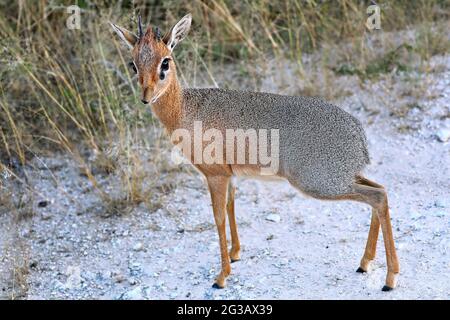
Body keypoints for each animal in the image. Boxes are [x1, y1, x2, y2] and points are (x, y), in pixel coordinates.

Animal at [110, 13, 400, 292]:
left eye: (165, 62)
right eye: (133, 63)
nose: (146, 96)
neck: (185, 109)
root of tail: (359, 134)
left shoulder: (215, 175)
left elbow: (218, 217)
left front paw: (222, 276)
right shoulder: (230, 175)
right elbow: (231, 207)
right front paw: (235, 253)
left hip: (320, 183)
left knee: (377, 197)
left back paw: (390, 278)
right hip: (343, 177)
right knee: (381, 190)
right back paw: (365, 263)